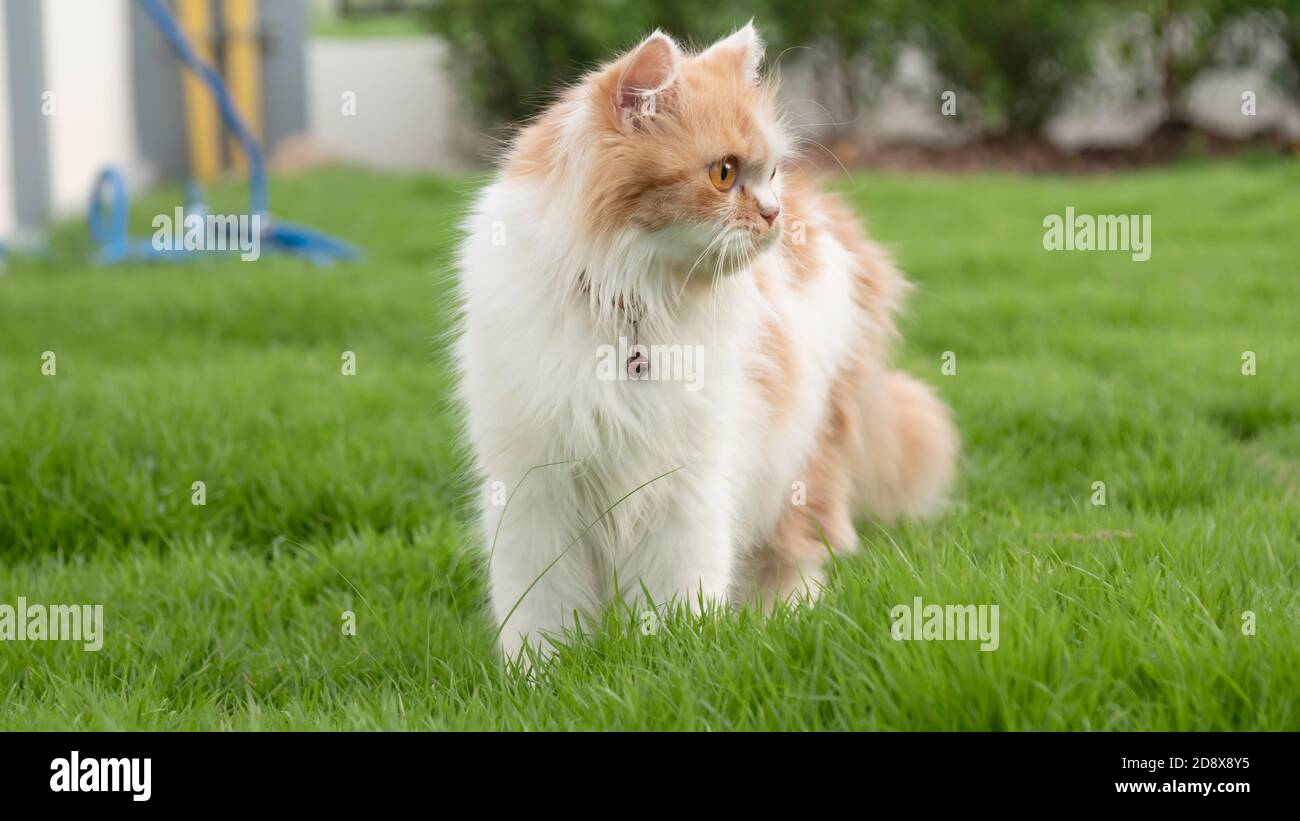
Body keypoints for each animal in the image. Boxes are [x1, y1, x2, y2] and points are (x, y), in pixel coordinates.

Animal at [454, 25, 956, 665]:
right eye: (723, 173)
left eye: (769, 173)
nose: (773, 213)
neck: (634, 306)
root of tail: (828, 211)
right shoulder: (535, 489)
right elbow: (540, 615)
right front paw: (541, 677)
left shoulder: (685, 485)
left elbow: (676, 600)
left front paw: (674, 663)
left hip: (803, 456)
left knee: (795, 553)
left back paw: (783, 620)